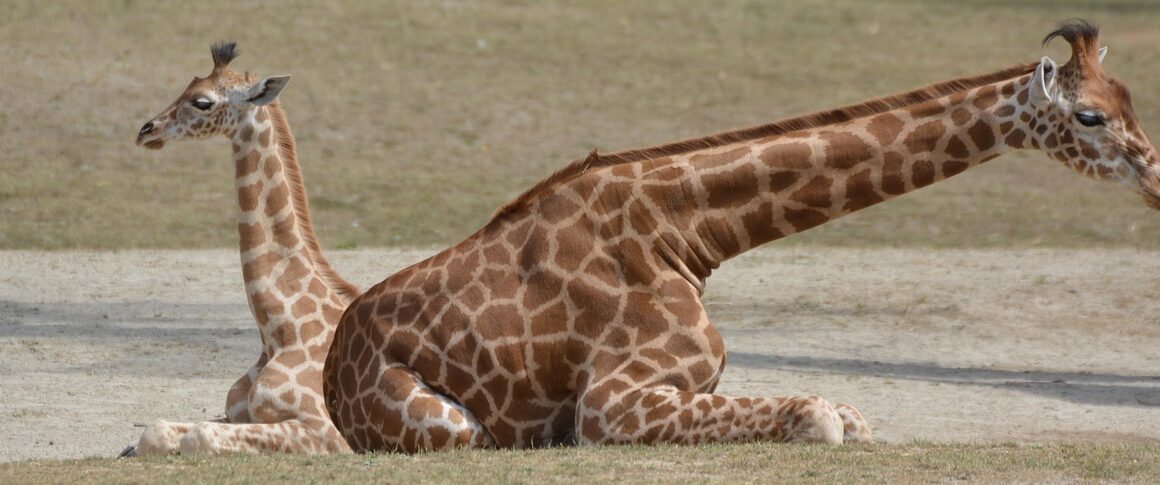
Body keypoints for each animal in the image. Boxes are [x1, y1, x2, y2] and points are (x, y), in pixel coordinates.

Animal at [124, 43, 360, 455]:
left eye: (202, 101)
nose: (146, 131)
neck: (278, 330)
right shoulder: (236, 412)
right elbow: (156, 430)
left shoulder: (327, 431)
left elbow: (199, 436)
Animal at [323, 21, 1160, 451]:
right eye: (1089, 116)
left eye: (1129, 100)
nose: (1156, 173)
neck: (683, 232)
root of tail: (333, 366)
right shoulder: (609, 402)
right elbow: (818, 418)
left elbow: (845, 413)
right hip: (445, 422)